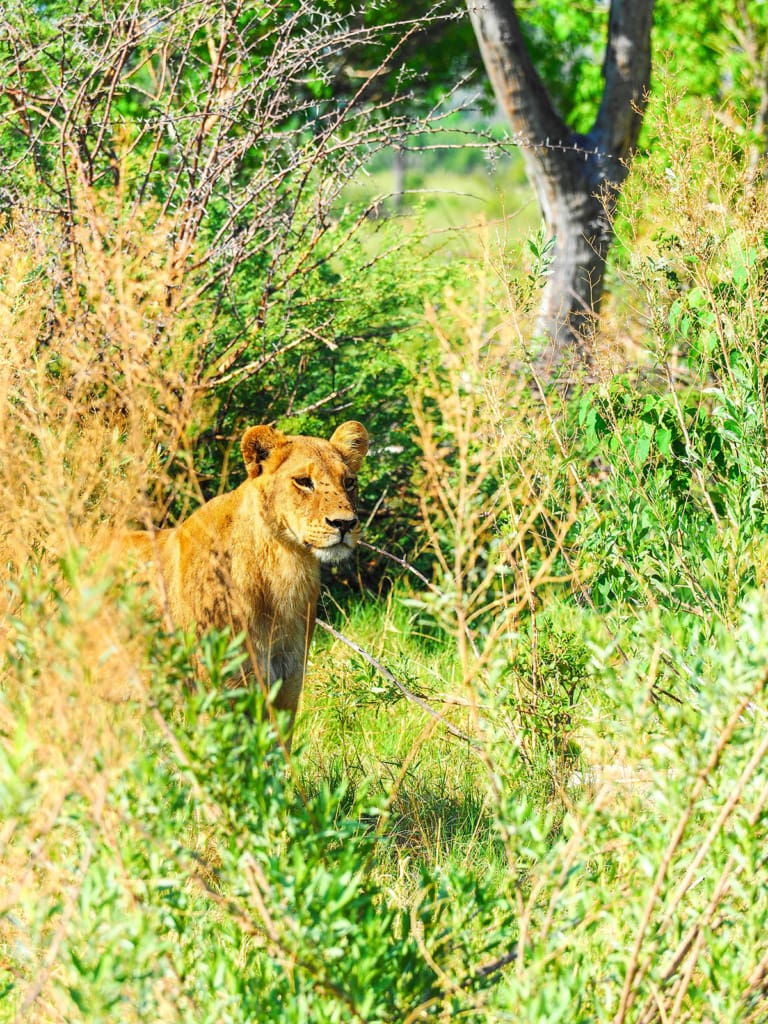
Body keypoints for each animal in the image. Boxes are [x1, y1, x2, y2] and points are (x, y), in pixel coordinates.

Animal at [120, 420, 369, 746]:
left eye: (349, 482)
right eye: (304, 481)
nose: (345, 524)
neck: (283, 571)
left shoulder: (288, 688)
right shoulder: (217, 690)